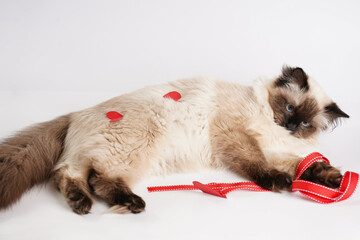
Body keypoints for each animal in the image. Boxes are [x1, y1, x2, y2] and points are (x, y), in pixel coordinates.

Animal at [0, 65, 348, 214]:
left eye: (305, 123)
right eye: (288, 107)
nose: (289, 124)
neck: (270, 127)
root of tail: (75, 113)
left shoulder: (278, 151)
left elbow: (307, 167)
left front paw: (334, 179)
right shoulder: (238, 138)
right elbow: (259, 164)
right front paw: (277, 182)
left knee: (69, 174)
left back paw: (81, 203)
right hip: (135, 148)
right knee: (89, 176)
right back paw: (126, 203)